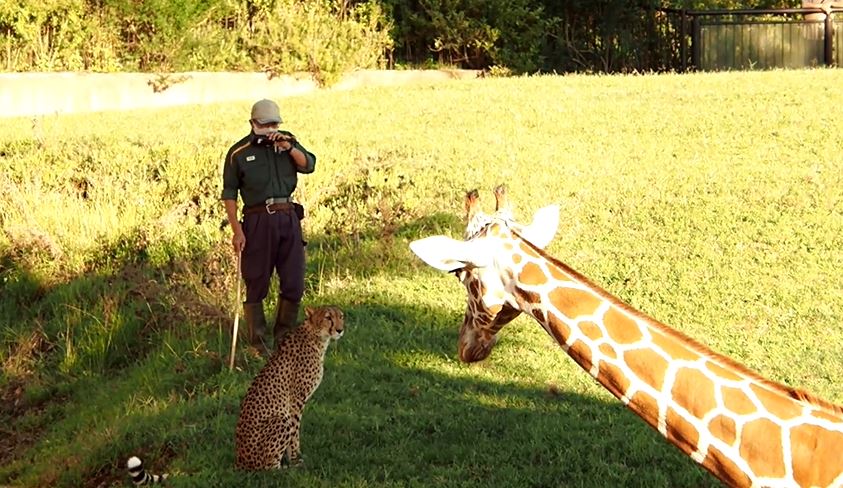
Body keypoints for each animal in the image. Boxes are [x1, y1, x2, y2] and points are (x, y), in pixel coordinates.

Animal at [234, 304, 342, 468]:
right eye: (328, 317)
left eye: (341, 316)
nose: (340, 330)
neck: (316, 337)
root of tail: (240, 461)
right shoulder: (296, 399)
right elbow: (295, 430)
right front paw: (295, 457)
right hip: (280, 420)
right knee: (268, 468)